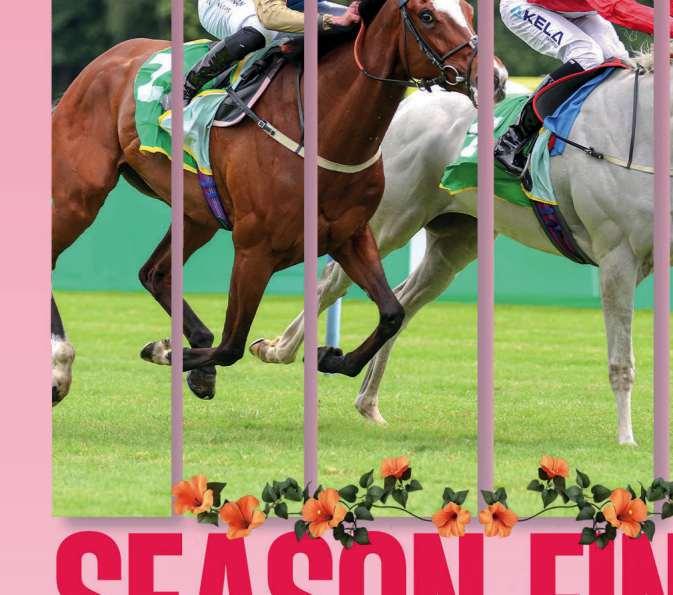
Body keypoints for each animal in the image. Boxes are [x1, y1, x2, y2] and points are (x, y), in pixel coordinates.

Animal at [51, 0, 507, 404]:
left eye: (469, 12)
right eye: (427, 15)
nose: (497, 77)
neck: (325, 130)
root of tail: (107, 59)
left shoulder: (350, 236)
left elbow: (392, 313)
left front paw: (329, 357)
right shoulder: (255, 249)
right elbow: (232, 344)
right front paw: (164, 351)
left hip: (198, 213)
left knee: (154, 274)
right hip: (79, 194)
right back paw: (60, 367)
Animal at [250, 51, 673, 446]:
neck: (635, 132)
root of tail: (406, 106)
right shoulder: (616, 257)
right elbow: (621, 361)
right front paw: (626, 438)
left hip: (455, 241)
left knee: (404, 302)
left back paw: (367, 401)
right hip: (391, 220)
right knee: (332, 283)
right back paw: (279, 349)